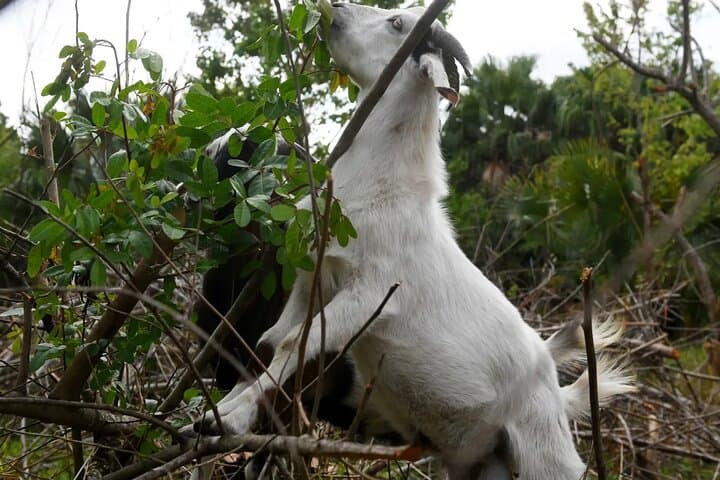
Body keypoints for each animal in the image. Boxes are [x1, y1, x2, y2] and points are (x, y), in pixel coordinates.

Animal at [191, 4, 633, 479]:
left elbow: (294, 344)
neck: (387, 191)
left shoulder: (372, 295)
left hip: (545, 456)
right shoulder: (315, 281)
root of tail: (559, 394)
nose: (336, 9)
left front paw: (232, 419)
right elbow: (270, 343)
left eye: (398, 24)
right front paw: (216, 416)